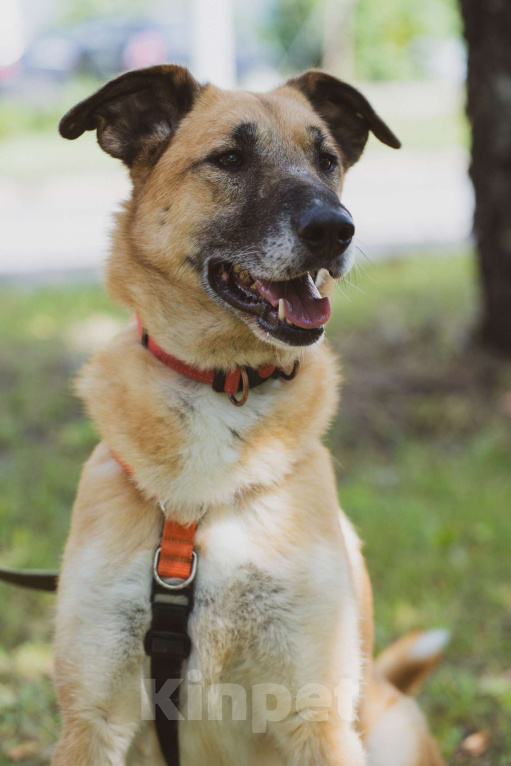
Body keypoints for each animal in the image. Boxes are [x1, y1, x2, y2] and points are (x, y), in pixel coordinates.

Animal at [52, 67, 448, 766]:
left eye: (327, 160)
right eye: (231, 159)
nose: (335, 230)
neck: (222, 385)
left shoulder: (318, 717)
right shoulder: (90, 719)